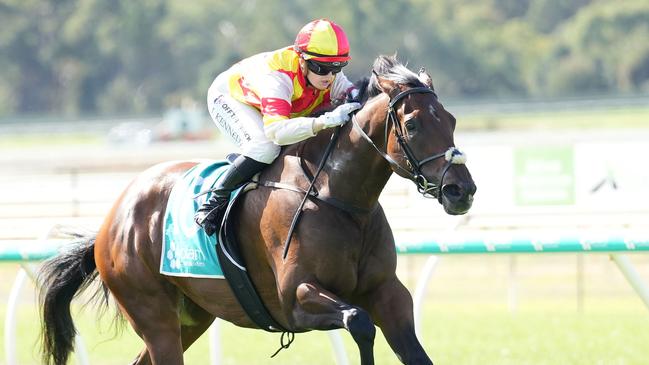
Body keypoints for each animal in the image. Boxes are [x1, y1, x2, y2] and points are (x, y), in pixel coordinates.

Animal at [39, 54, 476, 364]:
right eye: (413, 124)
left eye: (452, 120)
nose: (462, 191)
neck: (338, 198)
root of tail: (111, 221)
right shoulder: (296, 298)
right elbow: (359, 322)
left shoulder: (387, 292)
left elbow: (411, 349)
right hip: (153, 314)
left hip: (191, 317)